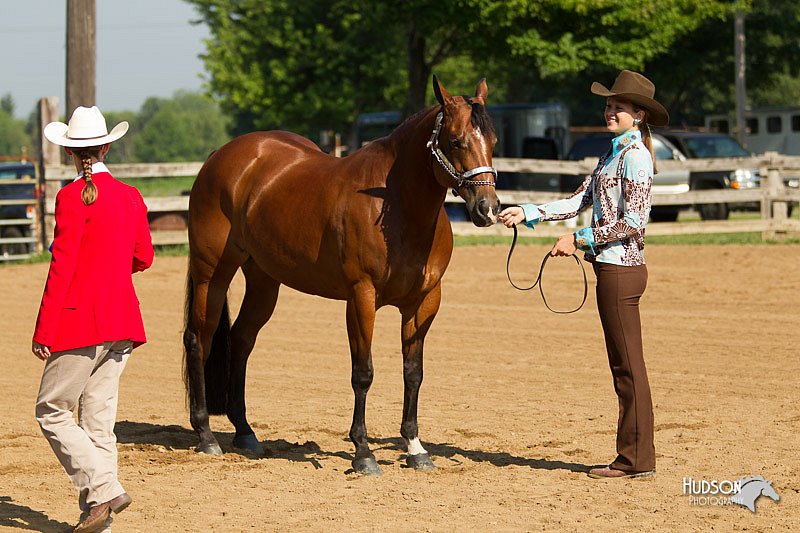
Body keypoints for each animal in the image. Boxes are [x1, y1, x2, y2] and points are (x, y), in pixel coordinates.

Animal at [183, 76, 500, 474]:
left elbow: (413, 372)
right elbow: (362, 373)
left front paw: (415, 448)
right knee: (200, 340)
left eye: (493, 141)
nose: (487, 209)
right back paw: (206, 435)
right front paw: (363, 452)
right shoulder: (361, 297)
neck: (398, 208)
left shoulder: (424, 303)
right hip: (211, 274)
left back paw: (245, 433)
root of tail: (219, 157)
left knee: (241, 341)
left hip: (264, 281)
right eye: (456, 140)